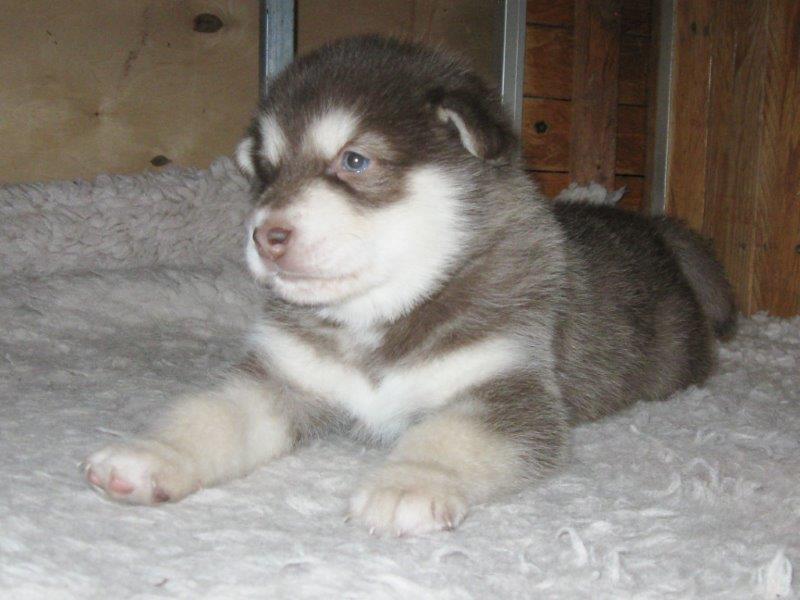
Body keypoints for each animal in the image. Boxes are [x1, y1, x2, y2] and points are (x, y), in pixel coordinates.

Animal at [84, 36, 735, 536]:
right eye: (267, 171)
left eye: (355, 161)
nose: (265, 235)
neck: (379, 316)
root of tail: (653, 226)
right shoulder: (284, 376)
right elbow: (211, 411)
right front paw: (152, 455)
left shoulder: (506, 387)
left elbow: (448, 435)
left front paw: (407, 485)